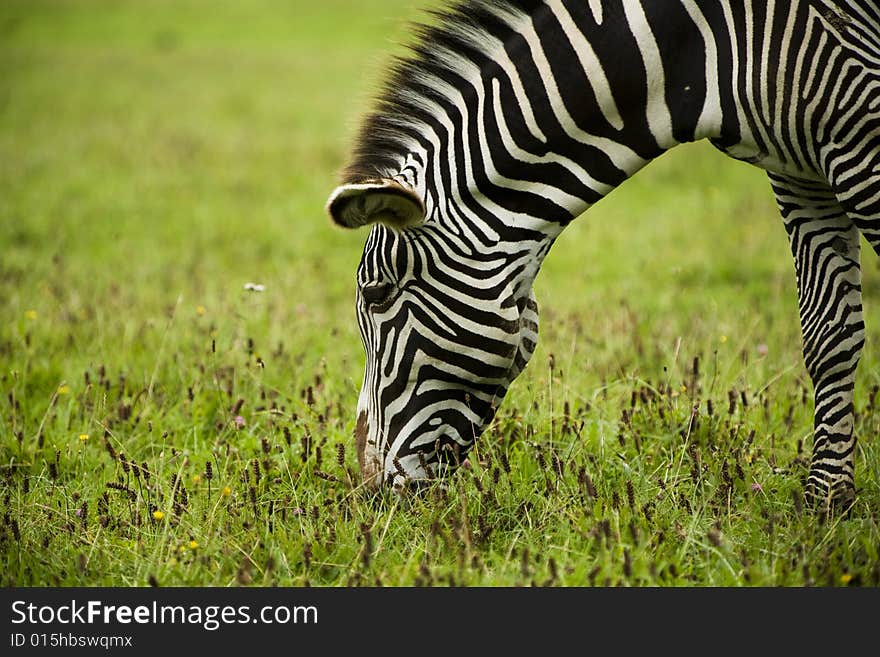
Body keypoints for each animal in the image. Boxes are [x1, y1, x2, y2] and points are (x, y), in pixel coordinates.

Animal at [324, 0, 880, 510]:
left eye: (377, 294)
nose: (368, 489)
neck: (703, 48)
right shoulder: (796, 174)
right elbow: (829, 334)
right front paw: (828, 500)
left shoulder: (859, 139)